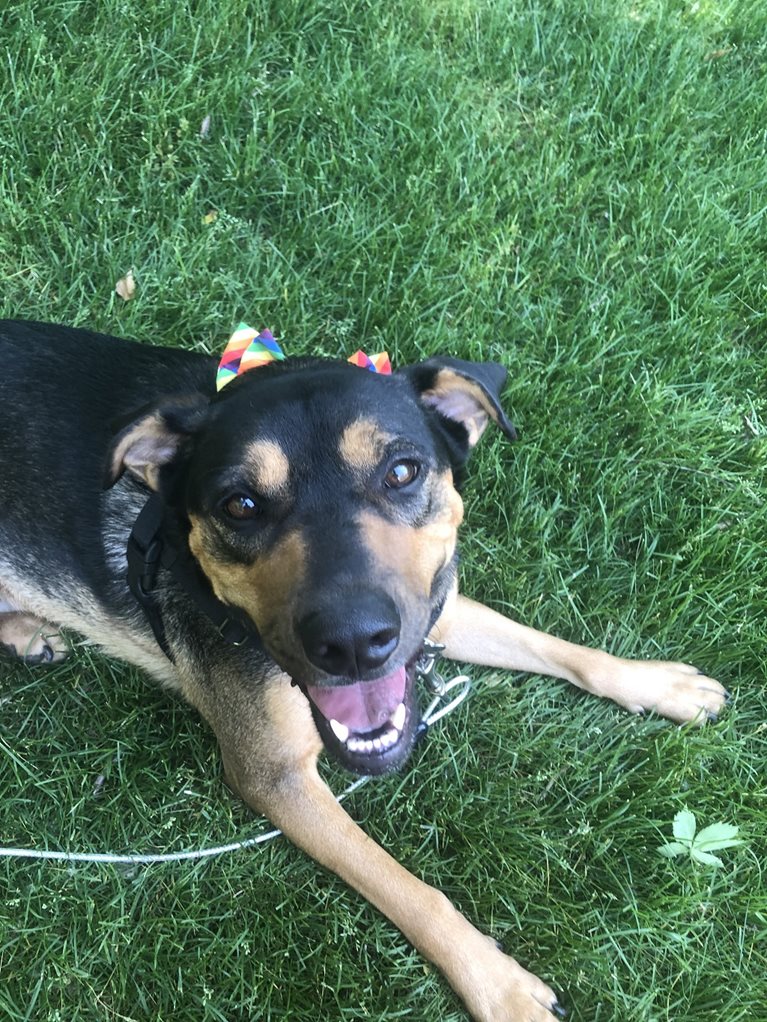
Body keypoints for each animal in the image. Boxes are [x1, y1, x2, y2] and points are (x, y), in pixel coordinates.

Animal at [0, 320, 728, 1021]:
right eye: (240, 504)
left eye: (402, 472)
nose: (352, 644)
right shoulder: (273, 777)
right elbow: (407, 889)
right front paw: (500, 987)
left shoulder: (431, 607)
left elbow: (556, 647)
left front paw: (658, 683)